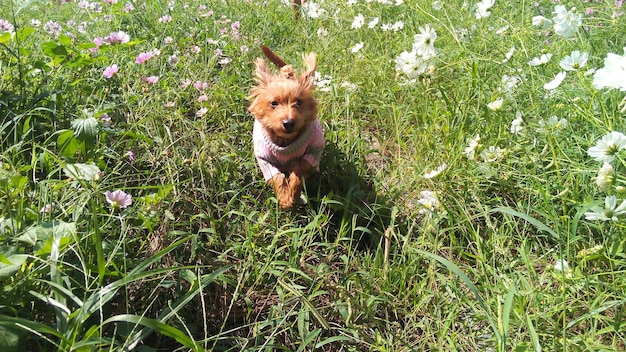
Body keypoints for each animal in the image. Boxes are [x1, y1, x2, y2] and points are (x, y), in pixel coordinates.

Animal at [249, 44, 324, 209]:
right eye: (273, 103)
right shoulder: (265, 159)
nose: (288, 123)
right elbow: (277, 177)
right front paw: (284, 198)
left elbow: (299, 170)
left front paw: (293, 192)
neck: (285, 141)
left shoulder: (312, 151)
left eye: (299, 102)